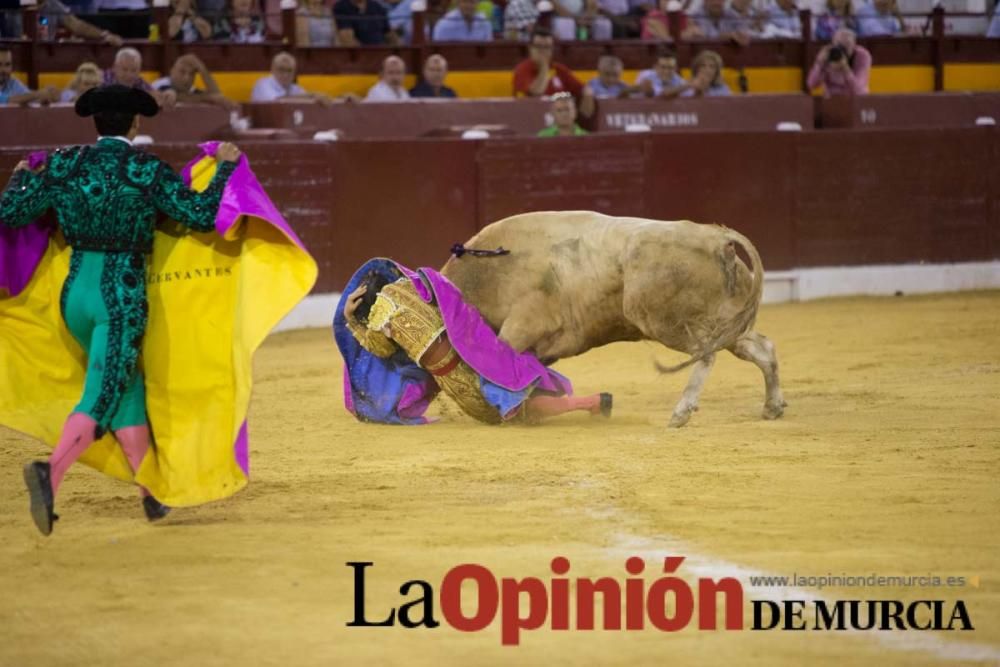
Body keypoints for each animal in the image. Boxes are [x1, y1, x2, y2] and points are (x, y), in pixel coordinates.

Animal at [442, 211, 784, 428]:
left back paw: (681, 412)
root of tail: (715, 236)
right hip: (725, 321)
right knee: (762, 348)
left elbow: (500, 366)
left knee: (706, 356)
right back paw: (772, 407)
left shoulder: (522, 325)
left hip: (666, 321)